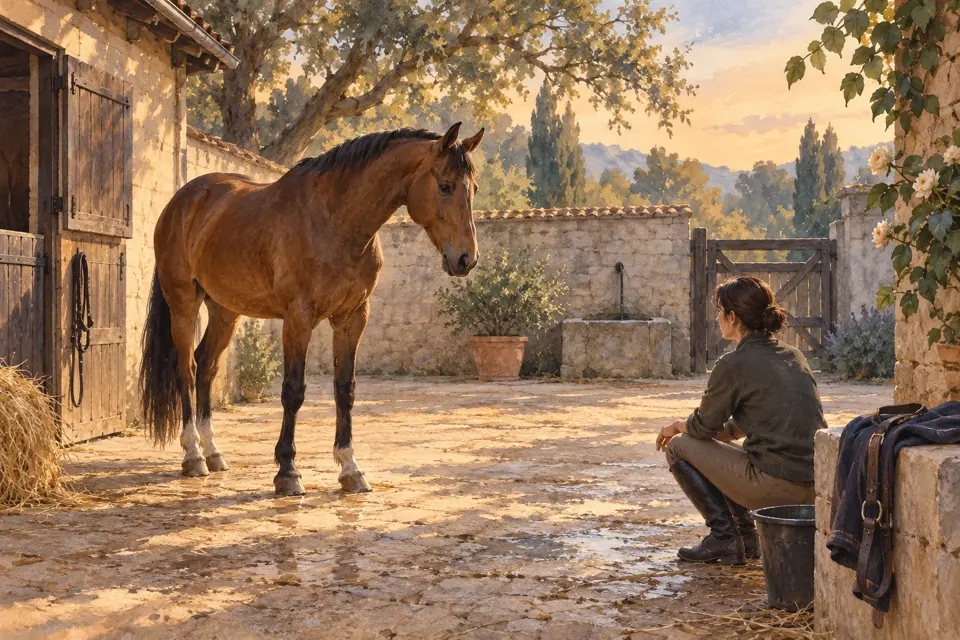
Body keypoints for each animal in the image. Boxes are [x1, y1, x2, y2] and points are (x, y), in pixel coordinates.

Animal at [139, 123, 483, 495]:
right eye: (445, 186)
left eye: (474, 189)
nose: (466, 259)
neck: (335, 221)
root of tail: (181, 201)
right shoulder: (298, 318)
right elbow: (293, 391)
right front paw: (288, 472)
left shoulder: (352, 318)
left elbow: (345, 389)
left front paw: (351, 469)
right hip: (183, 304)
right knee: (185, 370)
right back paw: (193, 455)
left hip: (225, 310)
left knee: (206, 366)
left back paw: (213, 452)